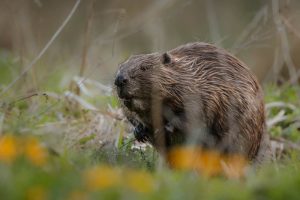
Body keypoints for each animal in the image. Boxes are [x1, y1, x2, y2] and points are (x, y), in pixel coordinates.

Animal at [114, 42, 270, 162]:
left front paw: (164, 128)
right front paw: (139, 131)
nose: (119, 80)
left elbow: (196, 115)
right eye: (120, 67)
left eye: (144, 67)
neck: (188, 74)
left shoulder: (208, 91)